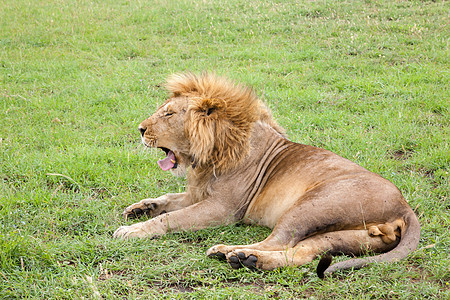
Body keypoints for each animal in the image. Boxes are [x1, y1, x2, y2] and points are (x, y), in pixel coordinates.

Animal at [111, 72, 418, 276]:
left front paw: (132, 230)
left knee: (278, 240)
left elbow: (170, 218)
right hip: (348, 236)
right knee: (300, 252)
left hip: (311, 205)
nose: (140, 129)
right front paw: (140, 208)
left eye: (169, 114)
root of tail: (404, 207)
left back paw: (233, 252)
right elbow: (167, 199)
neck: (209, 154)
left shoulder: (224, 208)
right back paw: (249, 259)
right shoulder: (198, 193)